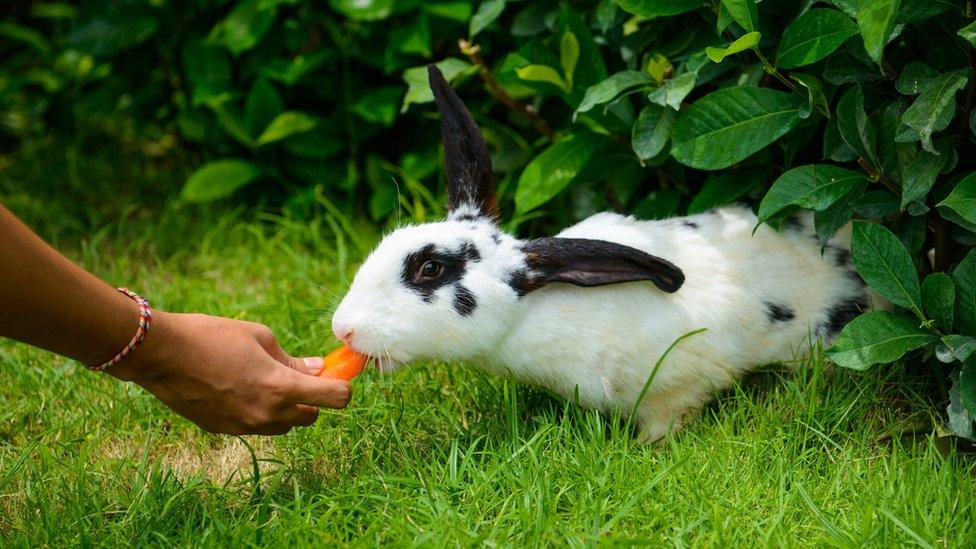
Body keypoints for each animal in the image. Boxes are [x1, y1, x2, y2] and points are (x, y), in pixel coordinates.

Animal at [332, 65, 880, 440]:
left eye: (430, 268)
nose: (342, 329)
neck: (535, 308)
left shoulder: (679, 385)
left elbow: (670, 417)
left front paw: (647, 449)